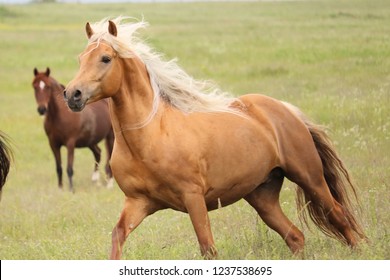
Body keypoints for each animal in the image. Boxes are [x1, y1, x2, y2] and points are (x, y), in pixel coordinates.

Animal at [63, 17, 366, 258]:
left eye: (106, 58)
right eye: (80, 58)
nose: (72, 95)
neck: (149, 137)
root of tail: (285, 109)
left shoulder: (193, 198)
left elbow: (208, 248)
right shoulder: (138, 203)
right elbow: (117, 237)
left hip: (309, 178)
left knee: (339, 216)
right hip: (262, 195)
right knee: (295, 236)